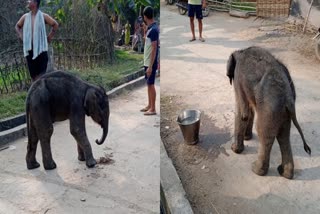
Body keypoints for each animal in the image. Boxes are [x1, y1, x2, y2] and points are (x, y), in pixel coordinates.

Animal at [226, 46, 312, 179]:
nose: (233, 148)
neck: (241, 51)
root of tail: (288, 97)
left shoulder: (239, 78)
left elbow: (243, 113)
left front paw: (235, 149)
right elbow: (250, 110)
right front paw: (247, 138)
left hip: (270, 107)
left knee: (265, 134)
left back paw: (256, 170)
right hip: (283, 112)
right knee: (283, 136)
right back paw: (285, 173)